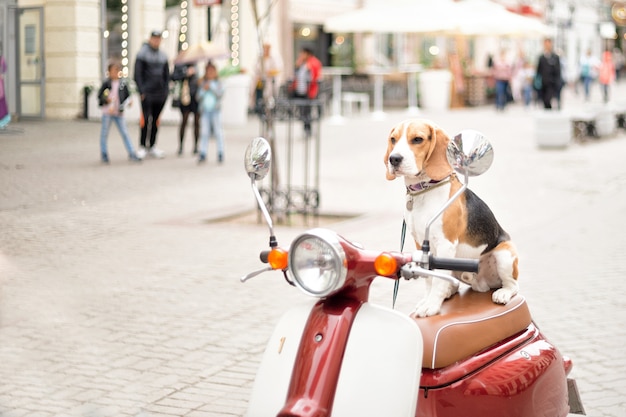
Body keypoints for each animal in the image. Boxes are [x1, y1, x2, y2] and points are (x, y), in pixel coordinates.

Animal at [382, 118, 520, 316]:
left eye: (417, 139)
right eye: (393, 139)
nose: (394, 159)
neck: (424, 190)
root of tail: (482, 284)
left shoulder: (445, 244)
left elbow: (437, 279)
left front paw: (431, 306)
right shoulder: (420, 244)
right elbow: (429, 278)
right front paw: (428, 300)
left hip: (504, 254)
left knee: (513, 284)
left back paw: (503, 293)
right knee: (452, 284)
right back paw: (448, 292)